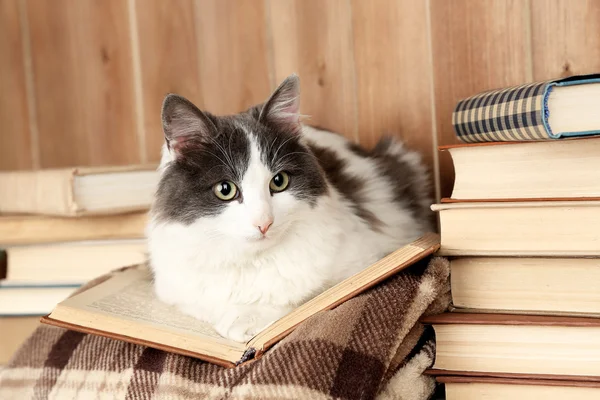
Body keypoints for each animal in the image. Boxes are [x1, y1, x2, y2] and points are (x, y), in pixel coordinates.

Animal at [148, 73, 434, 342]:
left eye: (279, 181)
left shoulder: (365, 263)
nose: (264, 223)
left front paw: (246, 319)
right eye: (225, 189)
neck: (254, 260)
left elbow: (307, 301)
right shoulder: (175, 290)